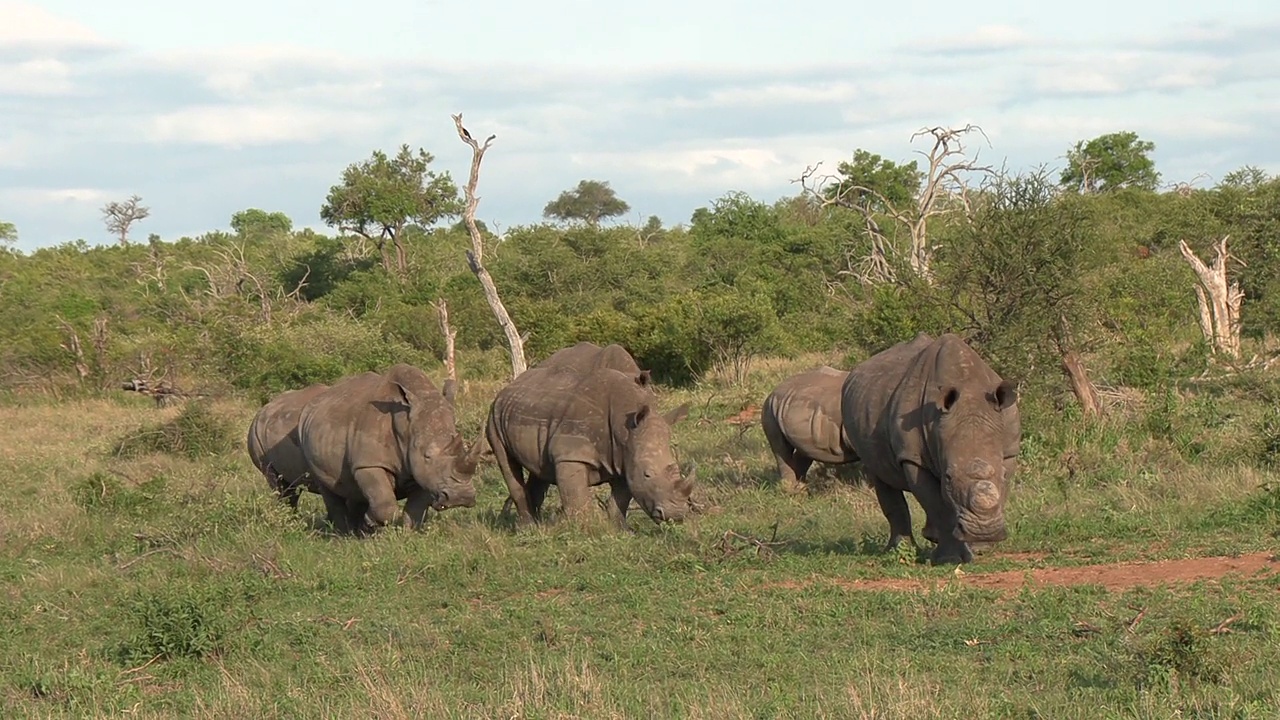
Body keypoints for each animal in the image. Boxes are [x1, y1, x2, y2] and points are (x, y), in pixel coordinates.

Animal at [296, 361, 481, 530]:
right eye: (427, 455)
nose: (461, 497)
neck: (406, 424)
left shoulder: (425, 472)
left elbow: (416, 507)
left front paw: (408, 533)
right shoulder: (369, 463)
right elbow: (385, 503)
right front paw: (371, 521)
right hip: (305, 437)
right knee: (328, 488)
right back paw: (344, 533)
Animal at [483, 363, 696, 527]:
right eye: (647, 474)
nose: (675, 514)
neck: (624, 428)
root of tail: (508, 387)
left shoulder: (625, 457)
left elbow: (621, 498)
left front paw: (620, 530)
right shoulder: (570, 454)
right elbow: (576, 496)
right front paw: (584, 529)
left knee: (539, 469)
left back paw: (537, 525)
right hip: (493, 416)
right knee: (507, 463)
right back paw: (528, 527)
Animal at [839, 333, 1018, 563]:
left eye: (1003, 475)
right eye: (948, 477)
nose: (983, 531)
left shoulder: (1009, 451)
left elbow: (998, 492)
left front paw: (980, 546)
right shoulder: (912, 457)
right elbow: (936, 504)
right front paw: (949, 559)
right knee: (881, 475)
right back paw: (899, 550)